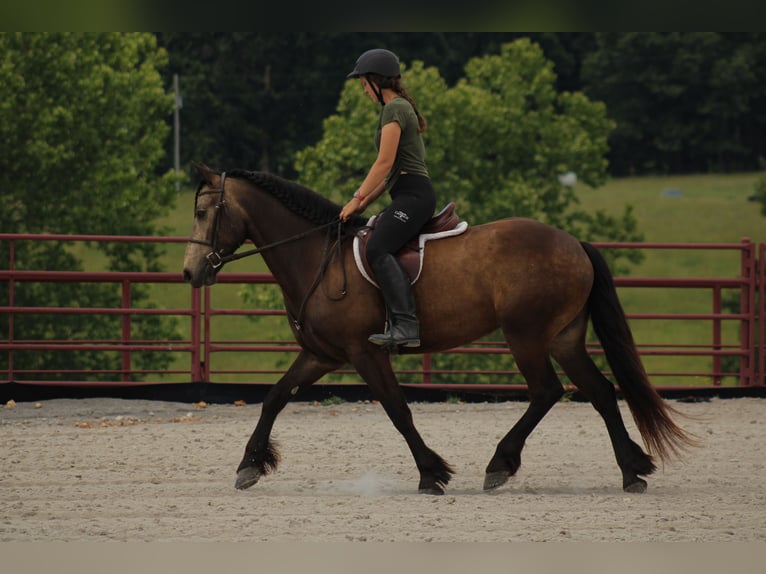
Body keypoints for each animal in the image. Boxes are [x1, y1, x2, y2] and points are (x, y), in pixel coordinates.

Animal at [183, 163, 694, 495]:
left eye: (205, 213)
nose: (191, 272)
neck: (316, 258)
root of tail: (573, 243)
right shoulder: (322, 355)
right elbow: (274, 397)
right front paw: (250, 465)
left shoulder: (365, 352)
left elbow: (397, 410)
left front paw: (432, 473)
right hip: (562, 337)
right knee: (601, 392)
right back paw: (631, 470)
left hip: (525, 335)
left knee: (548, 391)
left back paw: (501, 464)